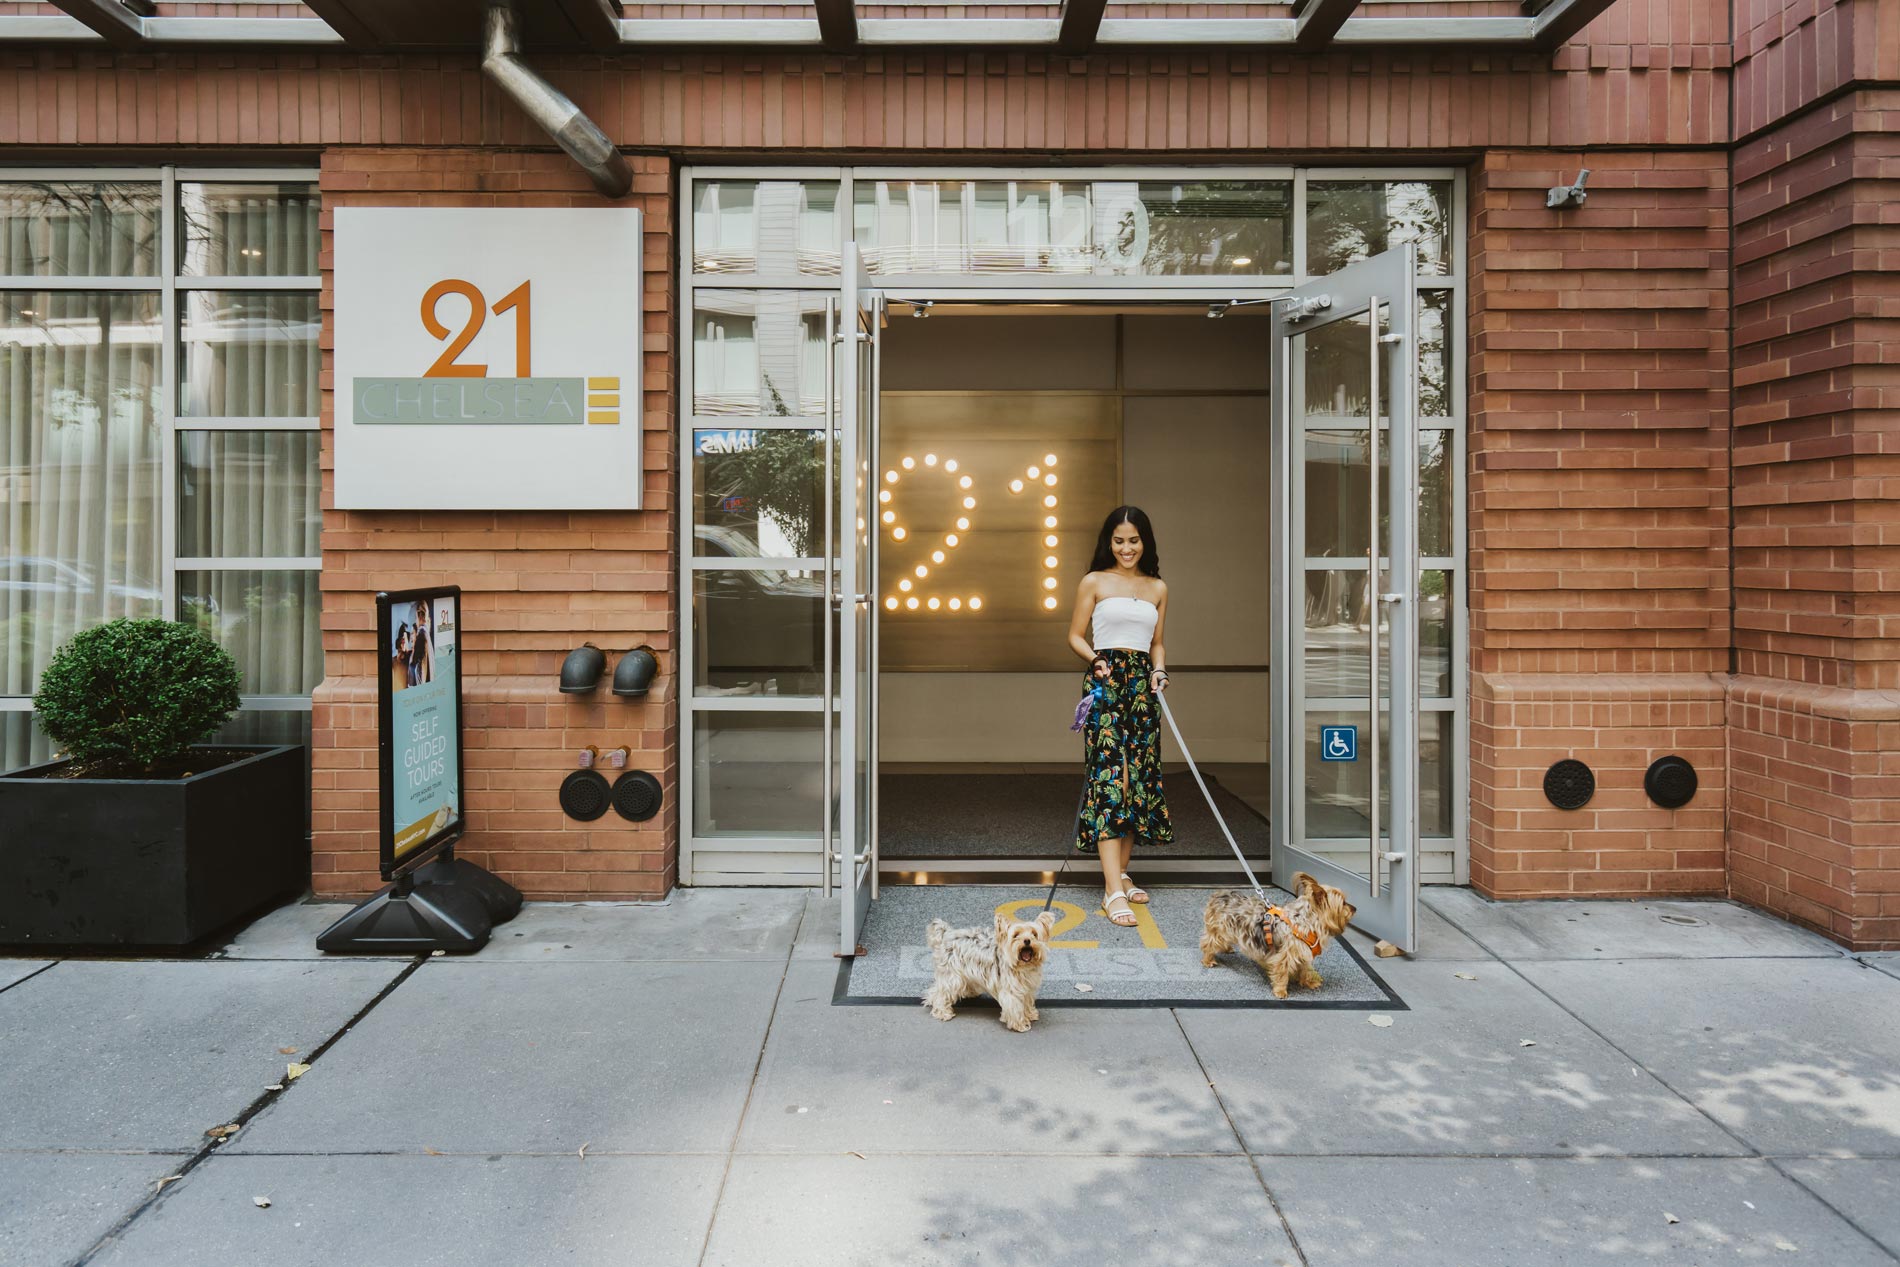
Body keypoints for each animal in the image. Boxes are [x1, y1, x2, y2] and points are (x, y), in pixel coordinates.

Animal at [927, 911, 1064, 1033]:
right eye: (1016, 935)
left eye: (1034, 934)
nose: (1027, 941)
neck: (1022, 967)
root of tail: (946, 934)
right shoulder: (1011, 991)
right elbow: (1015, 1007)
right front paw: (1019, 1024)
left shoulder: (1027, 988)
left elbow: (1026, 1002)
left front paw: (1029, 1014)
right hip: (952, 976)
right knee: (939, 993)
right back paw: (942, 1012)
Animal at [1200, 873, 1352, 1002]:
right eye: (1343, 903)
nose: (1354, 908)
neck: (1305, 921)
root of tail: (1219, 894)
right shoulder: (1284, 956)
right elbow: (1281, 972)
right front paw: (1280, 991)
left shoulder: (1303, 952)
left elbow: (1305, 969)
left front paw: (1309, 981)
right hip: (1219, 928)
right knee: (1209, 942)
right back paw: (1208, 960)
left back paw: (1226, 948)